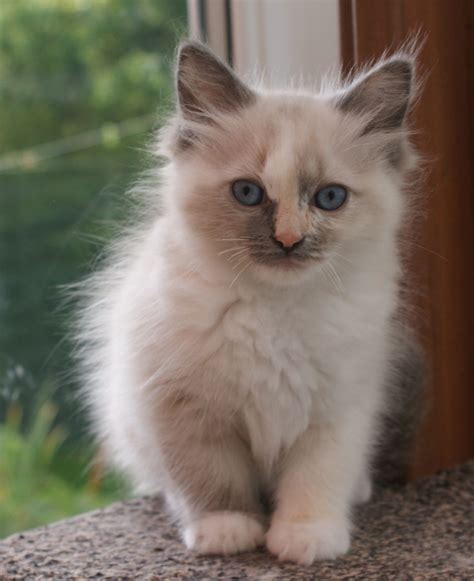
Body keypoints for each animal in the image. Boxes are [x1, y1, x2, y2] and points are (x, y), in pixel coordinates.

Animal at [77, 39, 422, 560]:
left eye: (330, 198)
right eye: (247, 193)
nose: (289, 240)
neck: (275, 310)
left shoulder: (337, 408)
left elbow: (316, 479)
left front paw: (306, 538)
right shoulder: (186, 407)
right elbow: (211, 480)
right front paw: (228, 531)